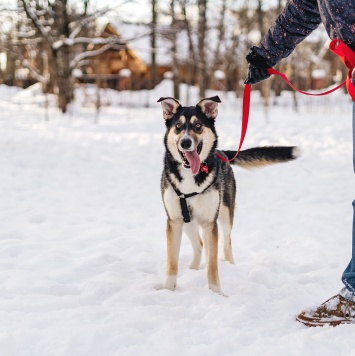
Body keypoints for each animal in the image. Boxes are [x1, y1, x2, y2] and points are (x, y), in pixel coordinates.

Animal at [159, 95, 298, 294]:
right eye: (178, 126)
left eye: (198, 125)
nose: (185, 142)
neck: (190, 176)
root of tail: (221, 152)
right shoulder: (174, 220)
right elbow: (172, 262)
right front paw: (168, 290)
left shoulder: (210, 222)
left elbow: (212, 264)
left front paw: (216, 293)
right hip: (187, 222)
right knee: (200, 245)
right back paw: (193, 269)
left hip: (224, 216)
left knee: (226, 243)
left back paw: (230, 266)